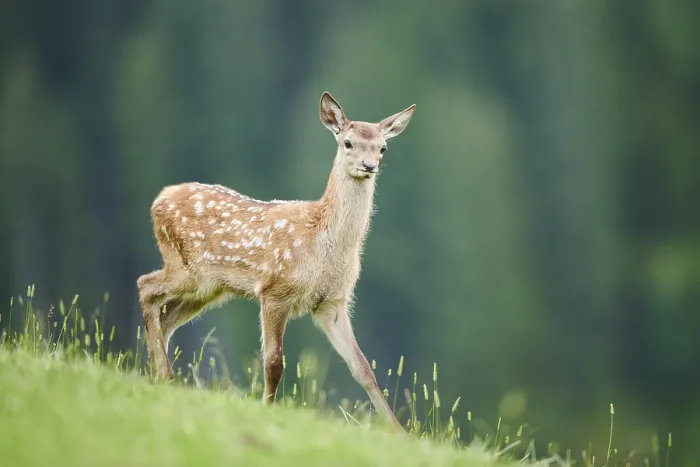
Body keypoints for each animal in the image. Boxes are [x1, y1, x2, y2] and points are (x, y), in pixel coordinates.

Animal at [136, 92, 416, 431]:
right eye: (348, 142)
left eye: (382, 147)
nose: (369, 165)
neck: (323, 243)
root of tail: (159, 199)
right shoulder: (274, 290)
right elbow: (273, 363)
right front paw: (267, 410)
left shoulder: (332, 302)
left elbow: (363, 368)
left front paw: (397, 430)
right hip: (186, 267)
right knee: (145, 286)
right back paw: (164, 374)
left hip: (209, 289)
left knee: (165, 316)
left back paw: (159, 375)